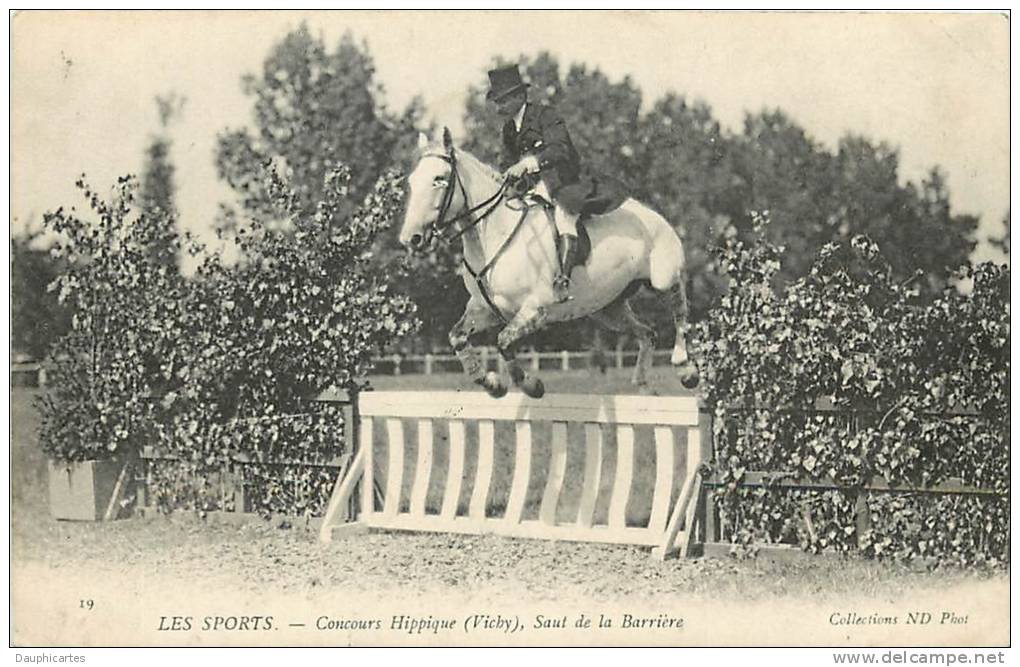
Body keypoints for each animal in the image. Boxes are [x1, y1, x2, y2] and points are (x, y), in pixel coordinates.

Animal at [401, 130, 697, 399]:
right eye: (412, 181)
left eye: (439, 179)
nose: (411, 239)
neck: (493, 235)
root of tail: (654, 214)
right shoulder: (484, 309)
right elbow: (458, 337)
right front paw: (491, 383)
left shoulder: (536, 309)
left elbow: (503, 341)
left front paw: (531, 385)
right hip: (607, 309)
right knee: (648, 334)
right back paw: (643, 385)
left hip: (663, 278)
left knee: (680, 311)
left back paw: (685, 368)